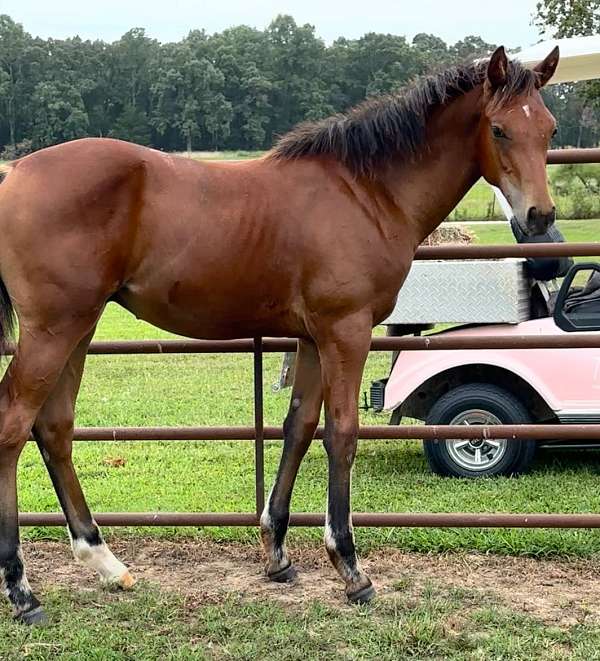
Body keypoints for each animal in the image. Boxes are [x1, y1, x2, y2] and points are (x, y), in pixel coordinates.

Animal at [0, 43, 556, 620]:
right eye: (499, 129)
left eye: (549, 130)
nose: (539, 217)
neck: (366, 192)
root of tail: (14, 172)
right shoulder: (346, 332)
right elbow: (341, 434)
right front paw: (350, 567)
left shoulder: (312, 338)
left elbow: (298, 427)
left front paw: (277, 554)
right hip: (53, 330)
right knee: (13, 425)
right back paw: (21, 589)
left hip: (79, 327)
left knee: (54, 427)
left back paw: (105, 562)